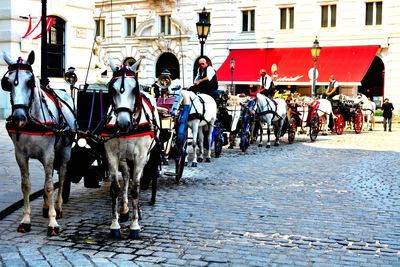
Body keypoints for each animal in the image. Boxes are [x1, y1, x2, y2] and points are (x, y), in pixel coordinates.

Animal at [0, 51, 76, 238]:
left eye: (30, 81)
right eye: (7, 83)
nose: (18, 118)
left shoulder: (49, 154)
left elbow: (49, 186)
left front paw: (53, 222)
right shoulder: (20, 155)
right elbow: (26, 185)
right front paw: (25, 220)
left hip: (65, 150)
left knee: (62, 176)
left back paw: (58, 206)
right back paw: (46, 206)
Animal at [104, 59, 160, 240]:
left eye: (134, 89)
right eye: (112, 89)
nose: (123, 123)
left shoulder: (141, 156)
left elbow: (136, 189)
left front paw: (135, 226)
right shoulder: (112, 155)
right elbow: (115, 188)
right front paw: (114, 225)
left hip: (145, 157)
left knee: (136, 179)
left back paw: (138, 211)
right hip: (124, 157)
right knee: (127, 176)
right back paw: (124, 209)